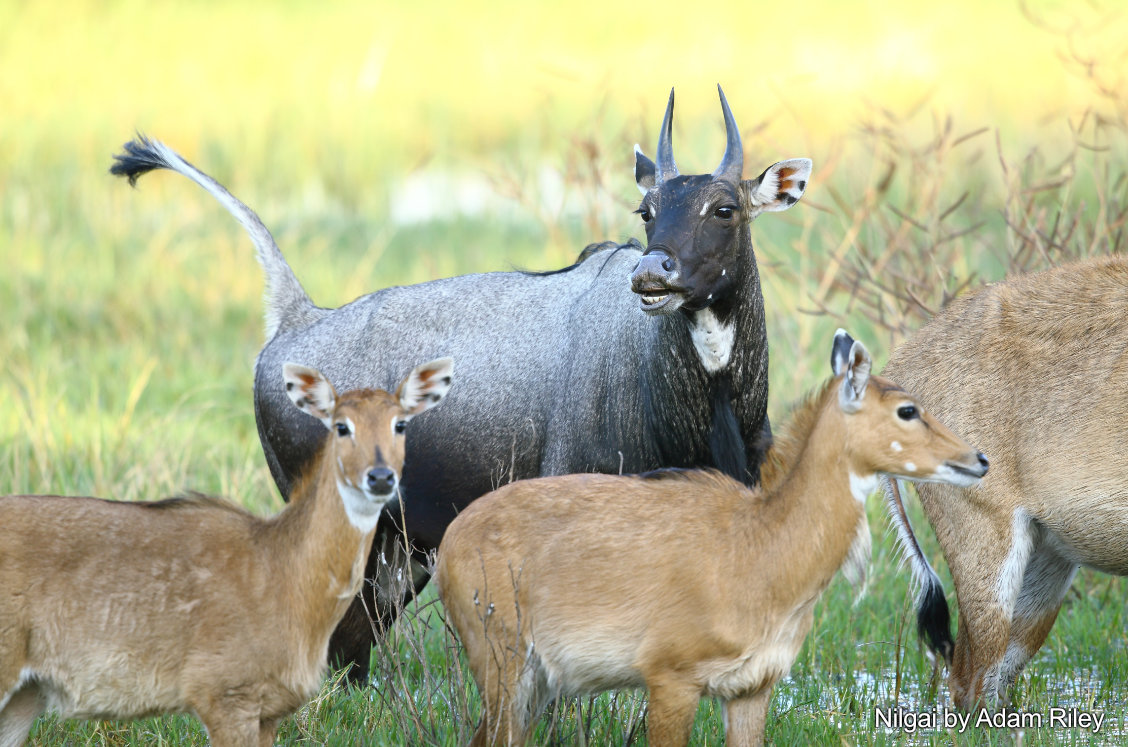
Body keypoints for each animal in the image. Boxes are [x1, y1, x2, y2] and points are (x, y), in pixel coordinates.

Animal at [112, 86, 812, 677]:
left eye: (725, 208)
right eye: (647, 209)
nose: (651, 274)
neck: (709, 403)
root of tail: (296, 315)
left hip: (400, 554)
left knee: (349, 652)